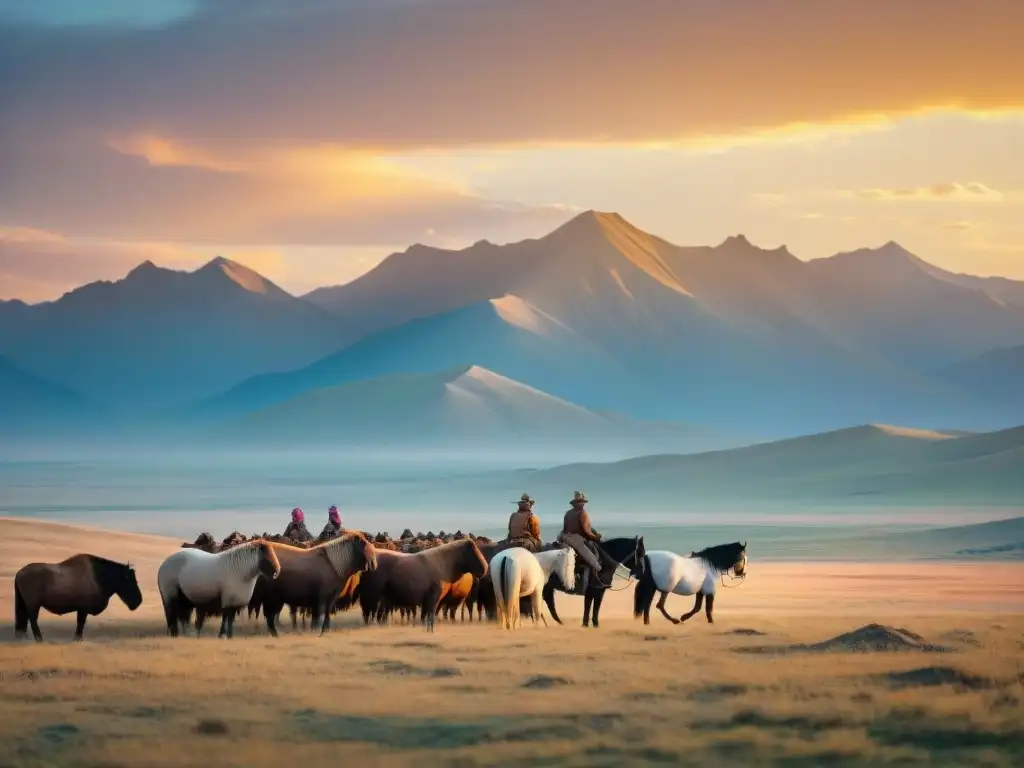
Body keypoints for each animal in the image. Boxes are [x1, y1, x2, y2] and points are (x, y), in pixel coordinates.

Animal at [14, 552, 143, 643]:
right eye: (130, 581)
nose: (139, 601)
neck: (100, 576)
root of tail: (19, 573)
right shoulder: (83, 609)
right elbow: (81, 623)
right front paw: (78, 639)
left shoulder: (81, 609)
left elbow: (80, 623)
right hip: (34, 606)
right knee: (33, 620)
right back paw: (40, 640)